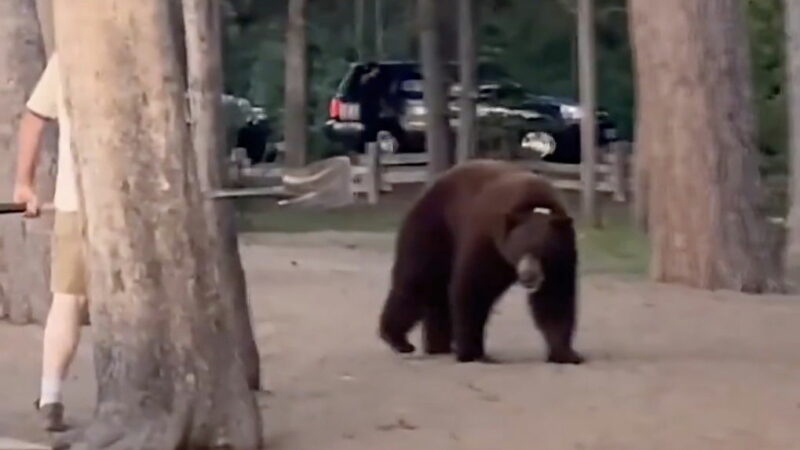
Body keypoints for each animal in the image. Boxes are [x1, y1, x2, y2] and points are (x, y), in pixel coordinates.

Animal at [378, 160, 584, 364]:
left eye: (543, 251)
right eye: (520, 250)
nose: (528, 276)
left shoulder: (562, 258)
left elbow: (555, 297)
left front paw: (566, 353)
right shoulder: (487, 240)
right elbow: (473, 287)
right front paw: (471, 351)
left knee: (437, 293)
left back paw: (438, 345)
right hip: (434, 228)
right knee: (418, 279)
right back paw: (398, 339)